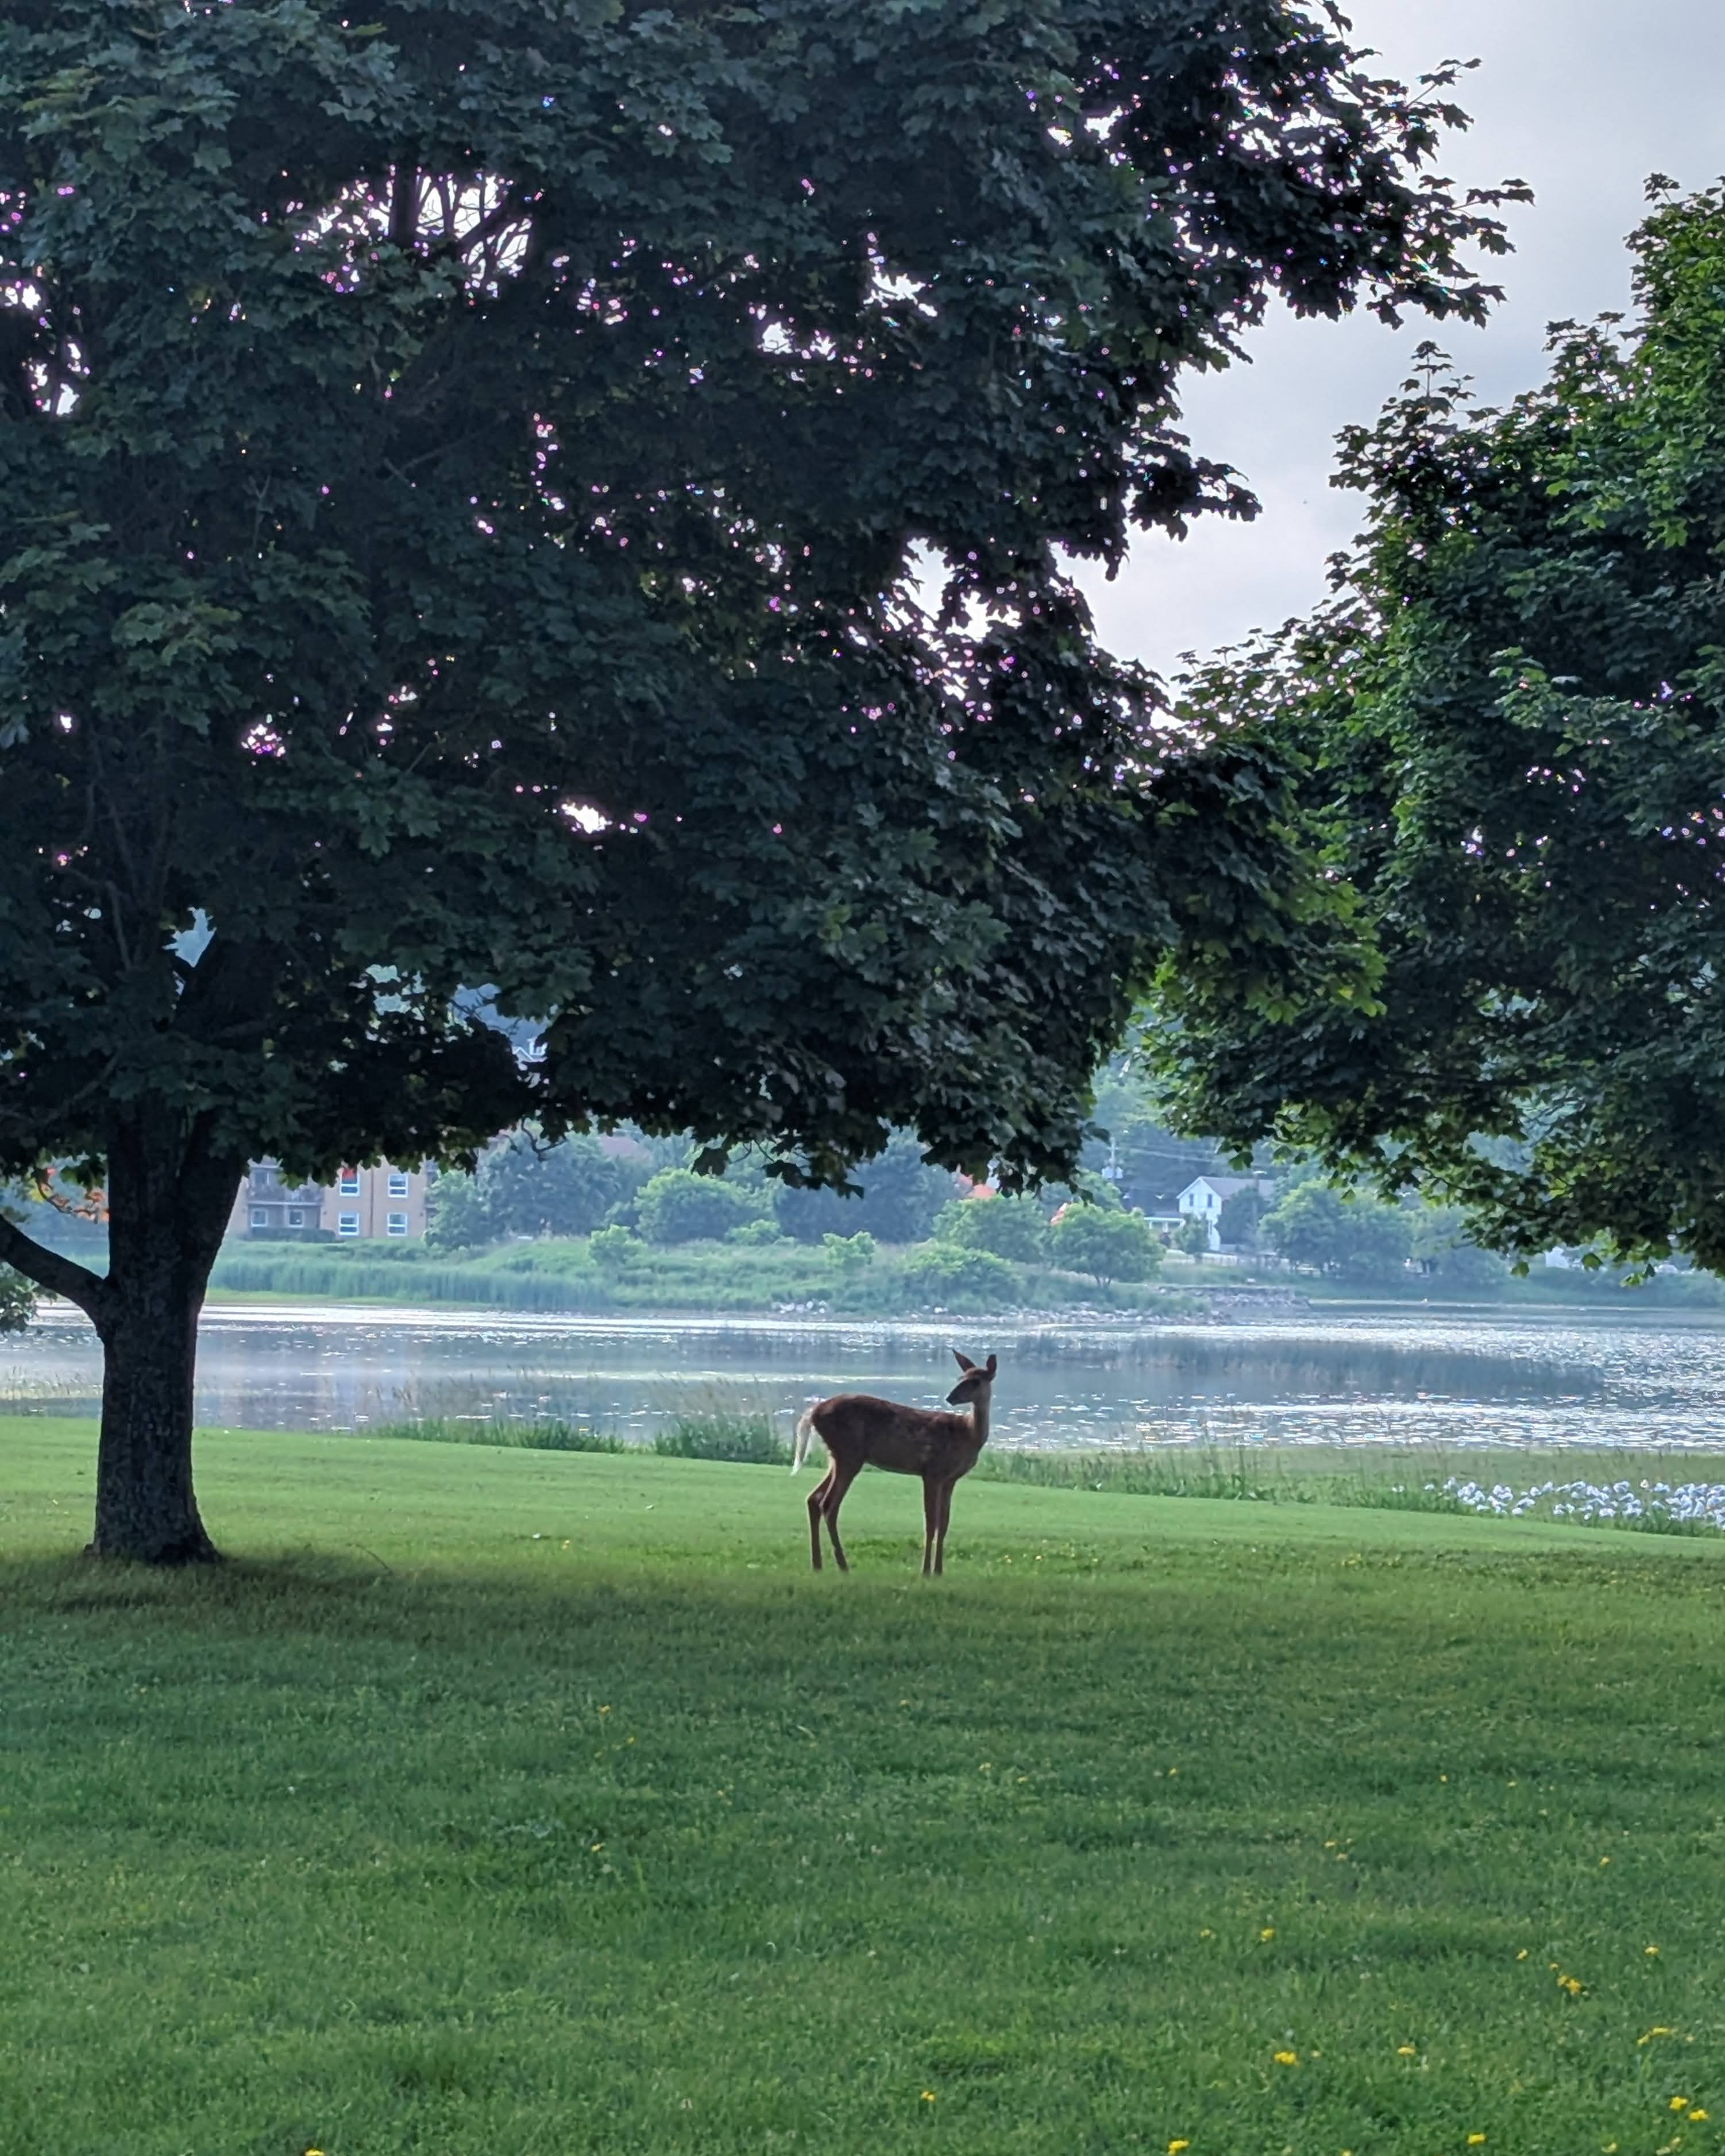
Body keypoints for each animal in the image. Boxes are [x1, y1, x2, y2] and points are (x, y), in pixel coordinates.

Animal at [792, 1350, 997, 1576]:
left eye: (975, 1381)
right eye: (961, 1378)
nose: (950, 1398)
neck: (968, 1434)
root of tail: (814, 1412)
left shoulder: (950, 1479)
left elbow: (944, 1524)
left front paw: (939, 1571)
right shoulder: (932, 1471)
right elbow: (930, 1523)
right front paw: (926, 1571)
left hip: (837, 1456)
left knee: (813, 1498)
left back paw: (818, 1564)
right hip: (849, 1454)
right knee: (828, 1505)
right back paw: (843, 1566)